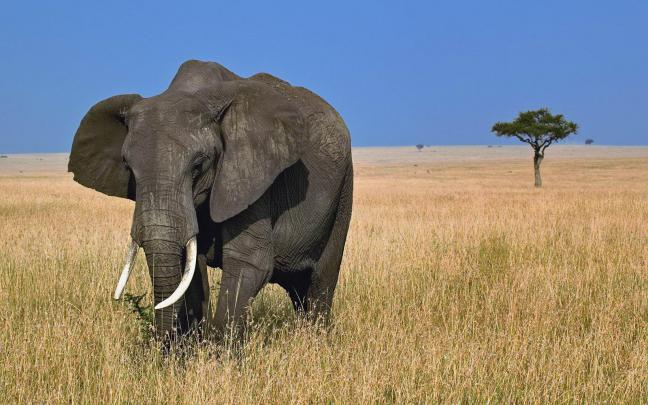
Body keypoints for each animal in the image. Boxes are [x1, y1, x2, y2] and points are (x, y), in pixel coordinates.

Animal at [68, 60, 353, 341]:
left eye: (198, 166)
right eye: (128, 167)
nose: (163, 343)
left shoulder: (249, 174)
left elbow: (249, 260)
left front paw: (218, 350)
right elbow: (191, 268)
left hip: (343, 190)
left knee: (320, 282)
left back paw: (315, 340)